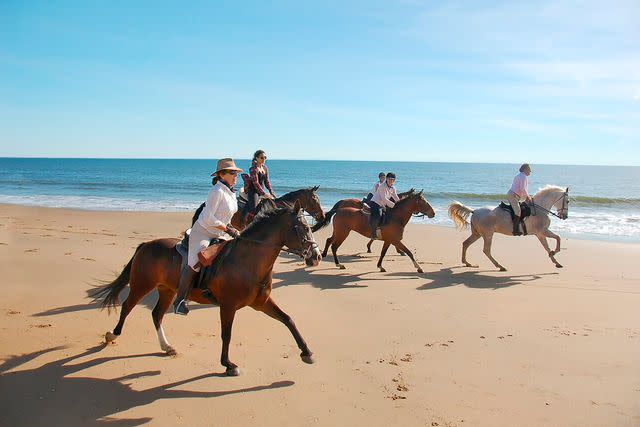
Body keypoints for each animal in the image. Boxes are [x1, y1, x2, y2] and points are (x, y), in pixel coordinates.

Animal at [90, 202, 322, 376]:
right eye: (303, 228)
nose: (317, 256)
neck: (248, 261)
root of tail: (146, 245)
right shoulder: (228, 306)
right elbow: (226, 334)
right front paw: (228, 364)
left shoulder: (261, 303)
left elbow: (288, 320)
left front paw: (306, 352)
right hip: (142, 284)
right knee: (127, 306)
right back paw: (112, 335)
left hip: (167, 290)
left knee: (156, 314)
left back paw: (167, 346)